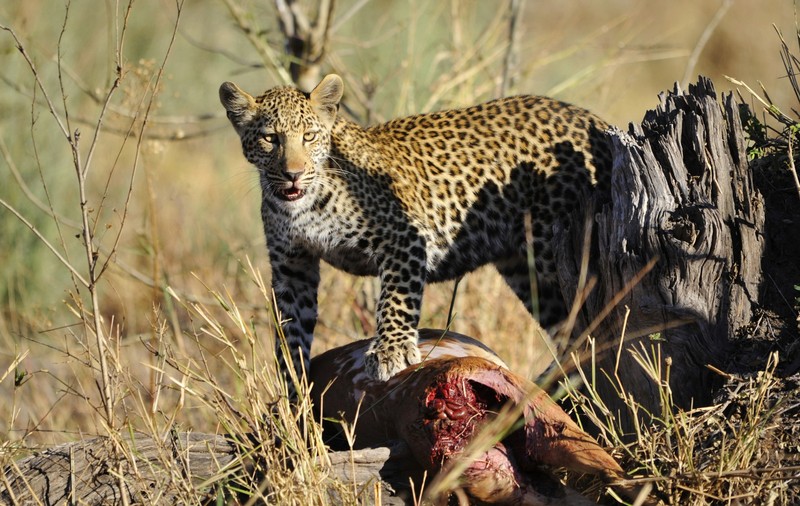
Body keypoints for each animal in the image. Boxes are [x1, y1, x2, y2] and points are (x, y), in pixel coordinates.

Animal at [219, 74, 612, 392]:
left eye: (309, 136)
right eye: (270, 139)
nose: (293, 173)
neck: (301, 206)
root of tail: (592, 119)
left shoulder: (403, 238)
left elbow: (395, 299)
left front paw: (390, 352)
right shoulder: (292, 267)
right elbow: (290, 332)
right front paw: (291, 394)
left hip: (553, 248)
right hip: (525, 268)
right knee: (572, 331)